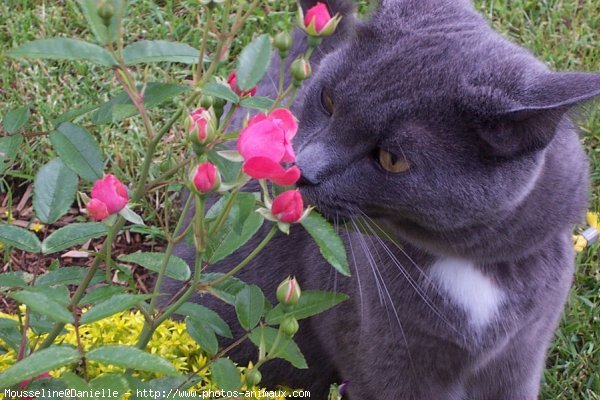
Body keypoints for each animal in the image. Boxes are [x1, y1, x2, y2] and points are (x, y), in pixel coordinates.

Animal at [164, 0, 600, 398]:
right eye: (328, 101)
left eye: (392, 159)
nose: (302, 170)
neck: (469, 268)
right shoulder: (384, 356)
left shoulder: (522, 352)